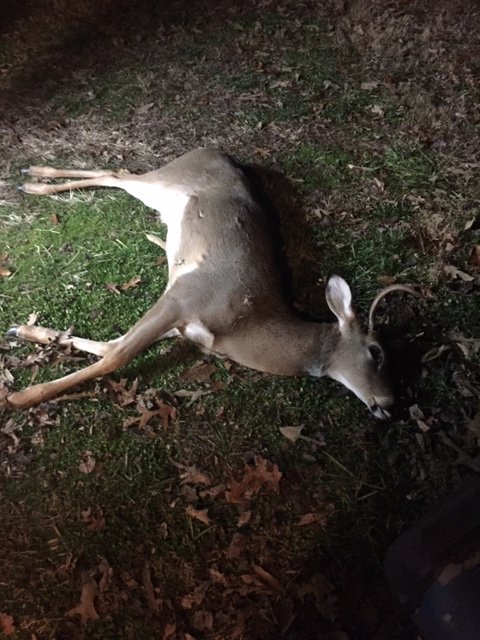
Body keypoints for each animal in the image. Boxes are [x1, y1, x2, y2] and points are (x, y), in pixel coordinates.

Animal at [4, 148, 418, 417]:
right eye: (376, 352)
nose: (390, 405)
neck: (246, 325)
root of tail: (213, 150)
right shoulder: (183, 297)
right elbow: (115, 356)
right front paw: (23, 397)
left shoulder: (183, 324)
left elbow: (108, 346)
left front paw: (29, 332)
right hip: (164, 181)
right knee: (117, 175)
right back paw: (34, 180)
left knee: (118, 175)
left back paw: (34, 178)